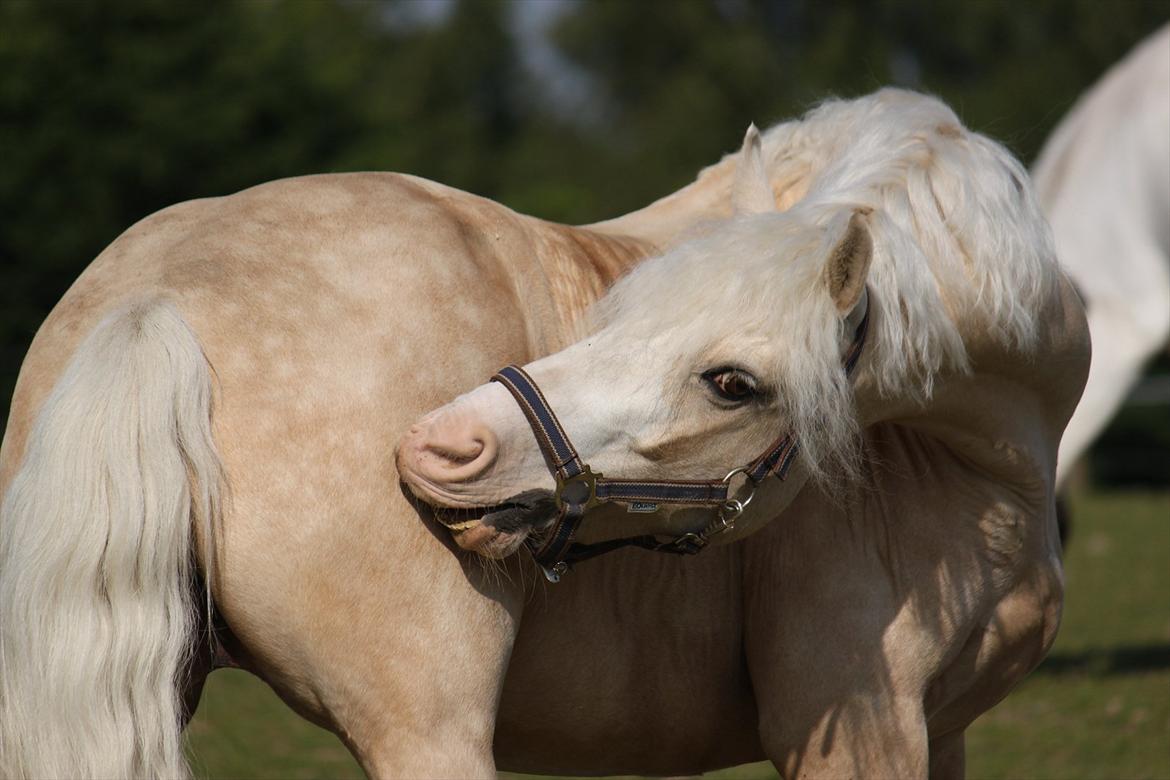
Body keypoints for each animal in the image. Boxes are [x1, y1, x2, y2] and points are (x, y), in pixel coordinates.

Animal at [4, 88, 1090, 776]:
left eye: (731, 383)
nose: (444, 446)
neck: (981, 457)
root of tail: (160, 296)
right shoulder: (859, 732)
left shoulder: (943, 735)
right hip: (431, 732)